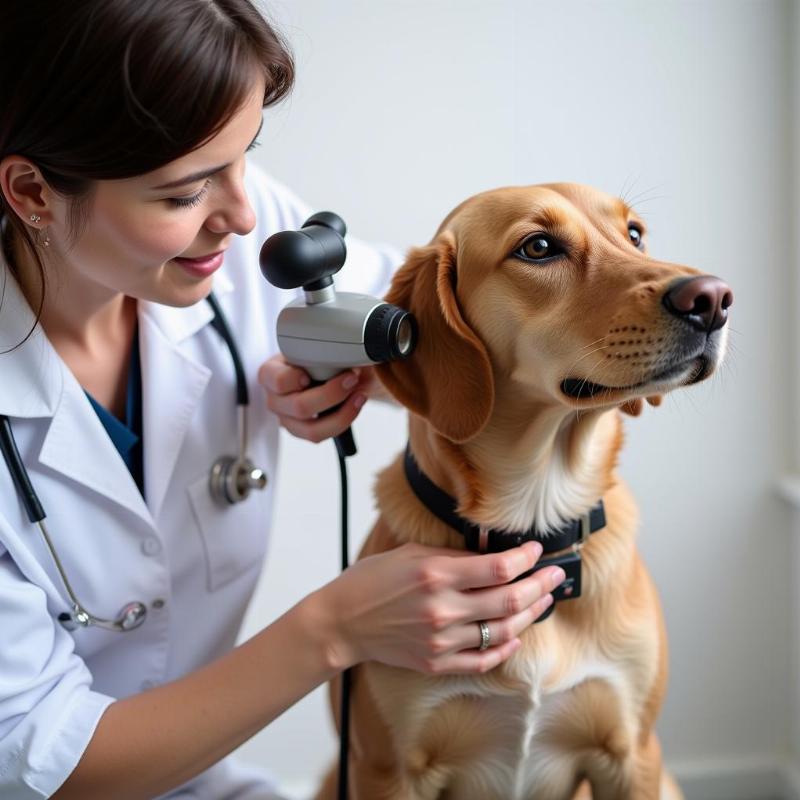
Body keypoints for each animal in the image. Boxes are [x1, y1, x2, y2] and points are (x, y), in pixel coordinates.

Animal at [316, 184, 736, 796]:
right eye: (538, 247)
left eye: (634, 234)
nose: (713, 298)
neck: (538, 510)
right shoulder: (385, 769)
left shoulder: (632, 756)